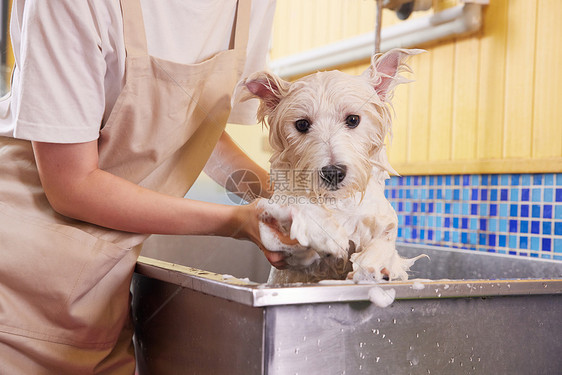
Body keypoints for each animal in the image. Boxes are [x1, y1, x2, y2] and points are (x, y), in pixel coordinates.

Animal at [240, 47, 424, 284]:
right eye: (302, 124)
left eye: (353, 119)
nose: (333, 173)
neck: (338, 203)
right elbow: (298, 207)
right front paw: (326, 233)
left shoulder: (380, 220)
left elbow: (385, 240)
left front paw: (374, 266)